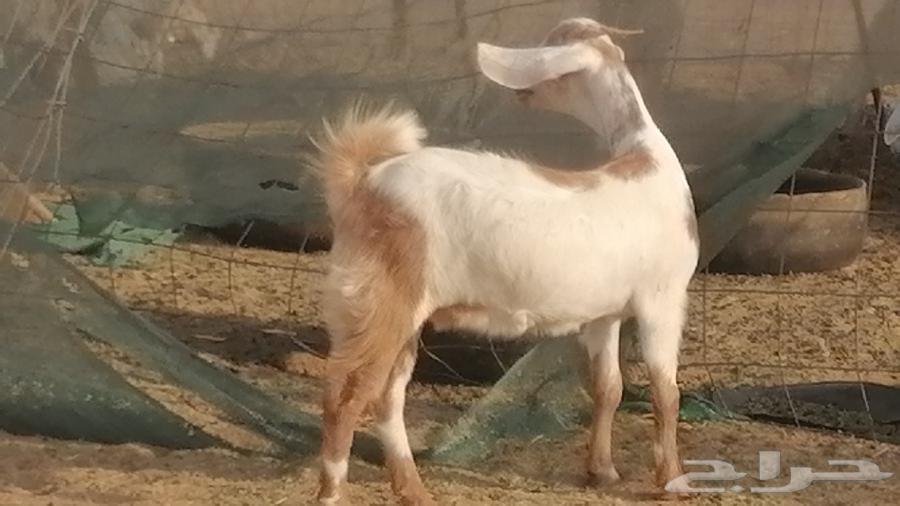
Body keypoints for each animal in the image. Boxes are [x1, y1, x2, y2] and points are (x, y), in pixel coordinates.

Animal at [311, 17, 700, 505]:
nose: (521, 93)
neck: (645, 160)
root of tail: (361, 184)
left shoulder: (604, 314)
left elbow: (608, 388)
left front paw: (602, 471)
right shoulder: (663, 299)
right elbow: (666, 392)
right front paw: (673, 480)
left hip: (386, 313)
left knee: (387, 397)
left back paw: (413, 488)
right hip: (381, 304)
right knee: (346, 396)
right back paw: (333, 493)